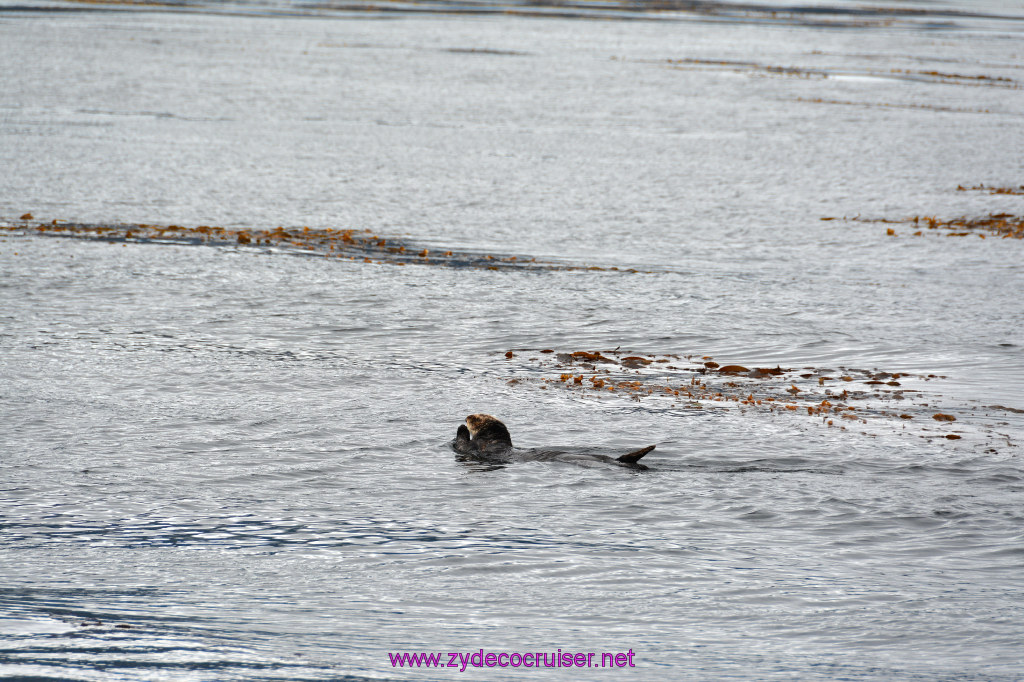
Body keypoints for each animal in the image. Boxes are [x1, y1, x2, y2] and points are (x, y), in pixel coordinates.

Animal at [452, 414, 655, 469]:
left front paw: (462, 427)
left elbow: (461, 445)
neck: (494, 440)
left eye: (476, 418)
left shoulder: (475, 448)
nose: (467, 417)